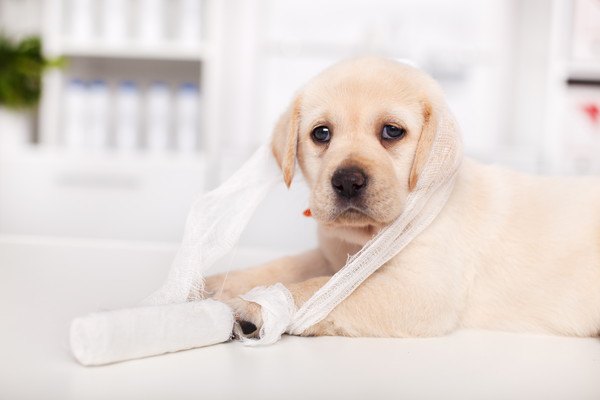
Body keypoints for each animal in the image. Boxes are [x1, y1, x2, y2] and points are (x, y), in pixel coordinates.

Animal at [203, 57, 600, 338]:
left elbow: (325, 290)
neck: (366, 235)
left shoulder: (422, 289)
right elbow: (281, 267)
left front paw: (257, 306)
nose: (347, 181)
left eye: (392, 131)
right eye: (321, 134)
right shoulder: (330, 256)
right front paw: (213, 284)